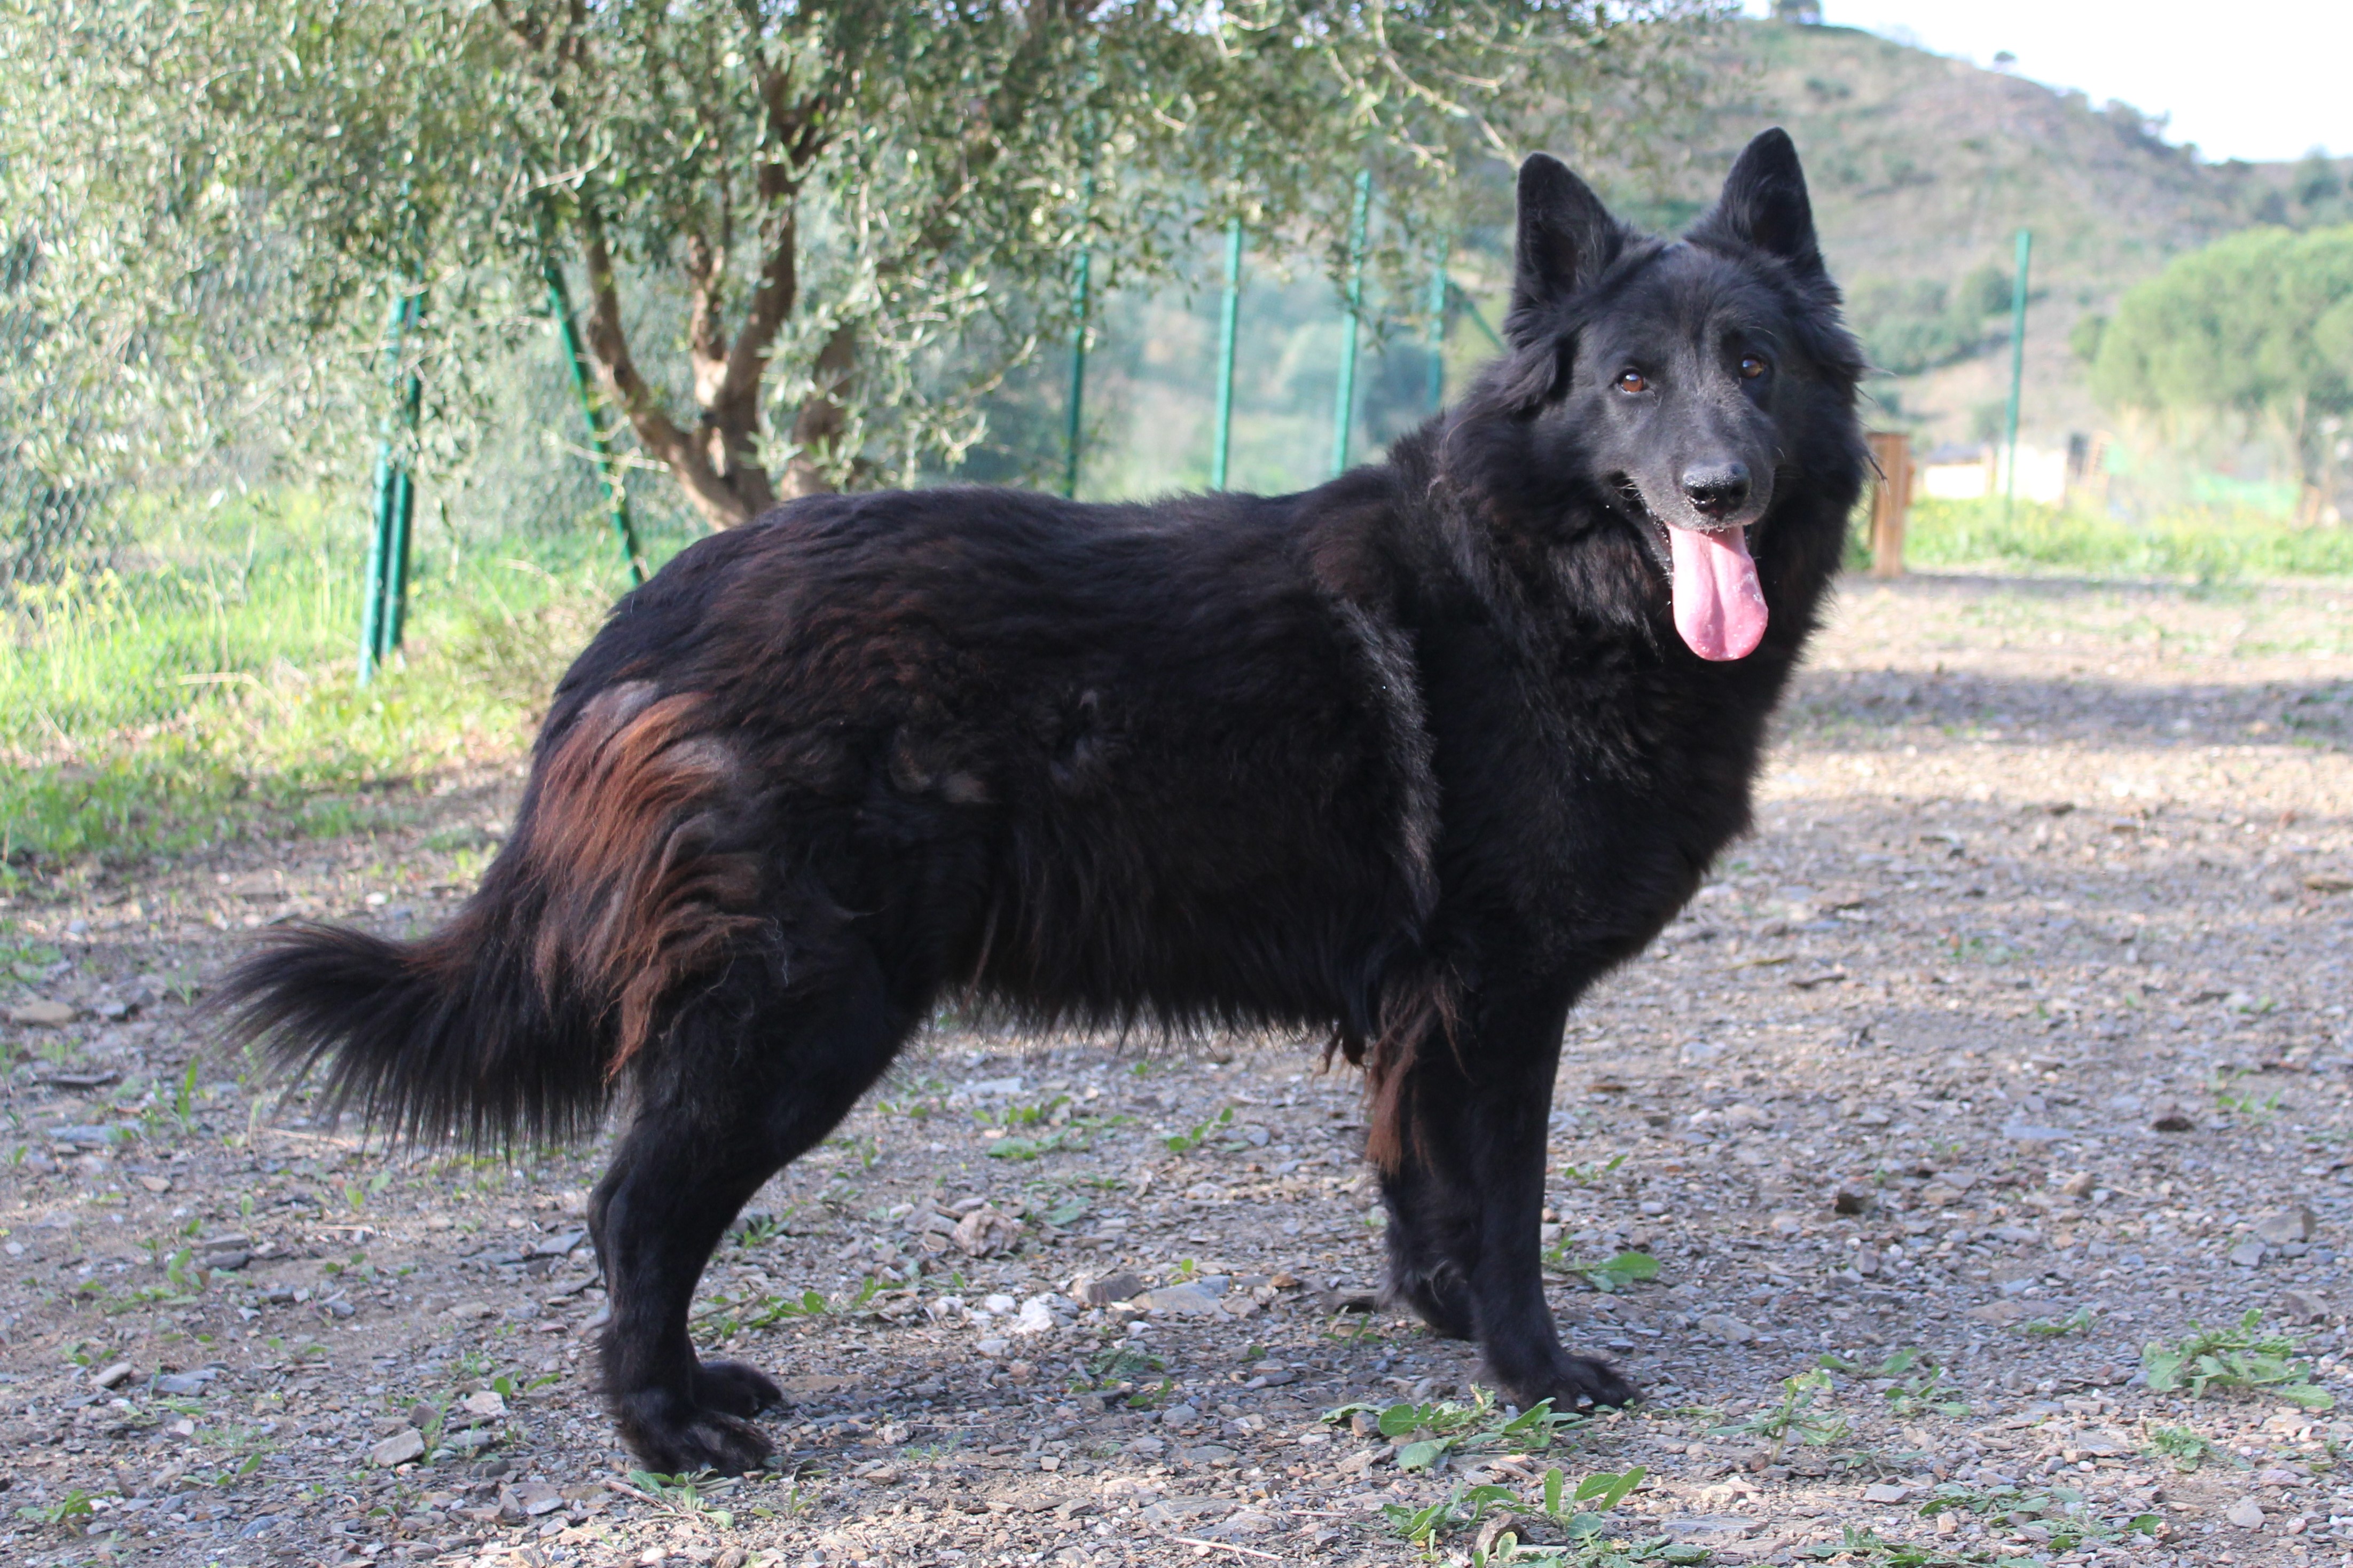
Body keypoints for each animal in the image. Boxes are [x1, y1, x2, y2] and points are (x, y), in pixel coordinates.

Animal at [224, 131, 1873, 1476]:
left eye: (1755, 367)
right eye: (1631, 383)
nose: (1719, 489)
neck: (1536, 587)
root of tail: (641, 618)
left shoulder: (1425, 1014)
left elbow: (1423, 1191)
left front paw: (1443, 1317)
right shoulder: (1499, 1000)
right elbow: (1510, 1206)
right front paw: (1530, 1370)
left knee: (638, 1210)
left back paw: (697, 1391)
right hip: (806, 1014)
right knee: (632, 1208)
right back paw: (664, 1432)